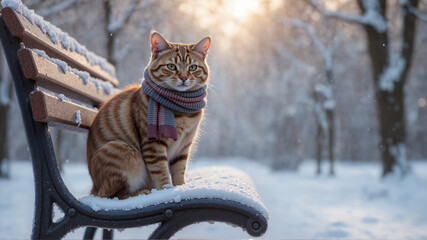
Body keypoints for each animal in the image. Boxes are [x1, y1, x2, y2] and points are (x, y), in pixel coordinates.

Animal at [87, 32, 212, 201]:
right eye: (171, 66)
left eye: (192, 67)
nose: (184, 78)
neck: (182, 111)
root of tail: (93, 187)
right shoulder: (153, 144)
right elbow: (161, 172)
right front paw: (167, 191)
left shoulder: (184, 146)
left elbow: (179, 170)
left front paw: (181, 188)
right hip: (124, 151)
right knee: (111, 195)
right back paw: (141, 192)